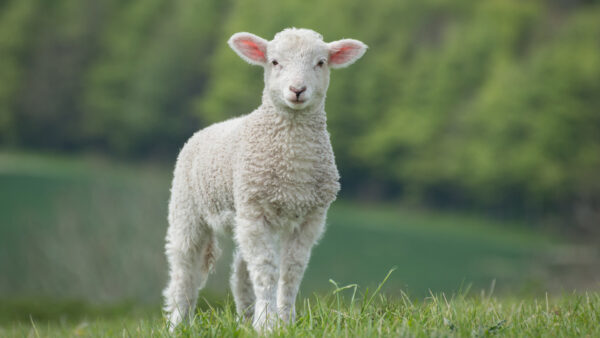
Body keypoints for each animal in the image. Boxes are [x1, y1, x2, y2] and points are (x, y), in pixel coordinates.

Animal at [163, 27, 366, 330]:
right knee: (183, 268)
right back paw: (178, 323)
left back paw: (247, 318)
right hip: (187, 208)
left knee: (240, 269)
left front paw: (285, 320)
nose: (297, 90)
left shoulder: (309, 218)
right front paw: (268, 324)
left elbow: (291, 270)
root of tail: (203, 131)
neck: (292, 166)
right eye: (274, 62)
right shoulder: (255, 210)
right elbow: (266, 268)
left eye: (320, 62)